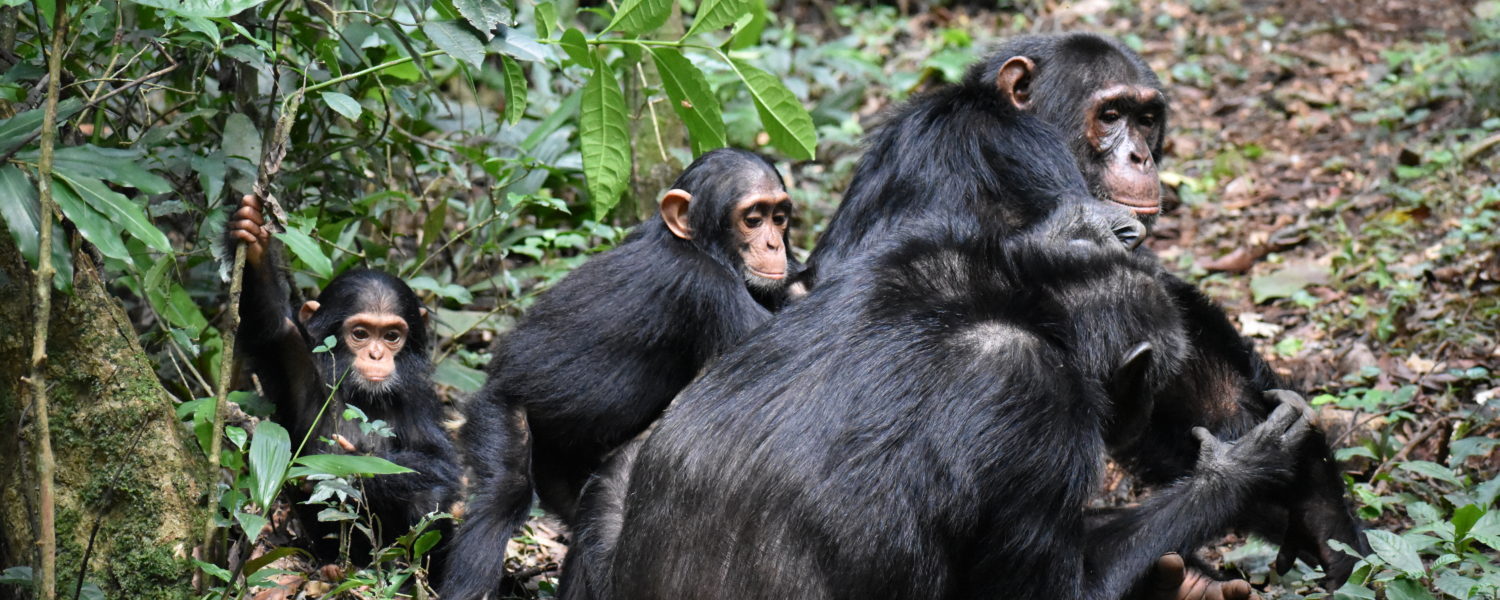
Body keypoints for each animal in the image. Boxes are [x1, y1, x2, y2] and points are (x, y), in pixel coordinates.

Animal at [228, 193, 459, 576]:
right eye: (361, 333)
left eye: (392, 336)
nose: (377, 354)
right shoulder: (295, 354)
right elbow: (273, 325)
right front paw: (254, 236)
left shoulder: (419, 396)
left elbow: (441, 462)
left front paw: (360, 461)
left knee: (432, 495)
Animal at [438, 147, 804, 597]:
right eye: (753, 219)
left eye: (779, 217)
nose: (773, 243)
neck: (697, 245)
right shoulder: (706, 287)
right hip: (497, 411)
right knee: (503, 494)